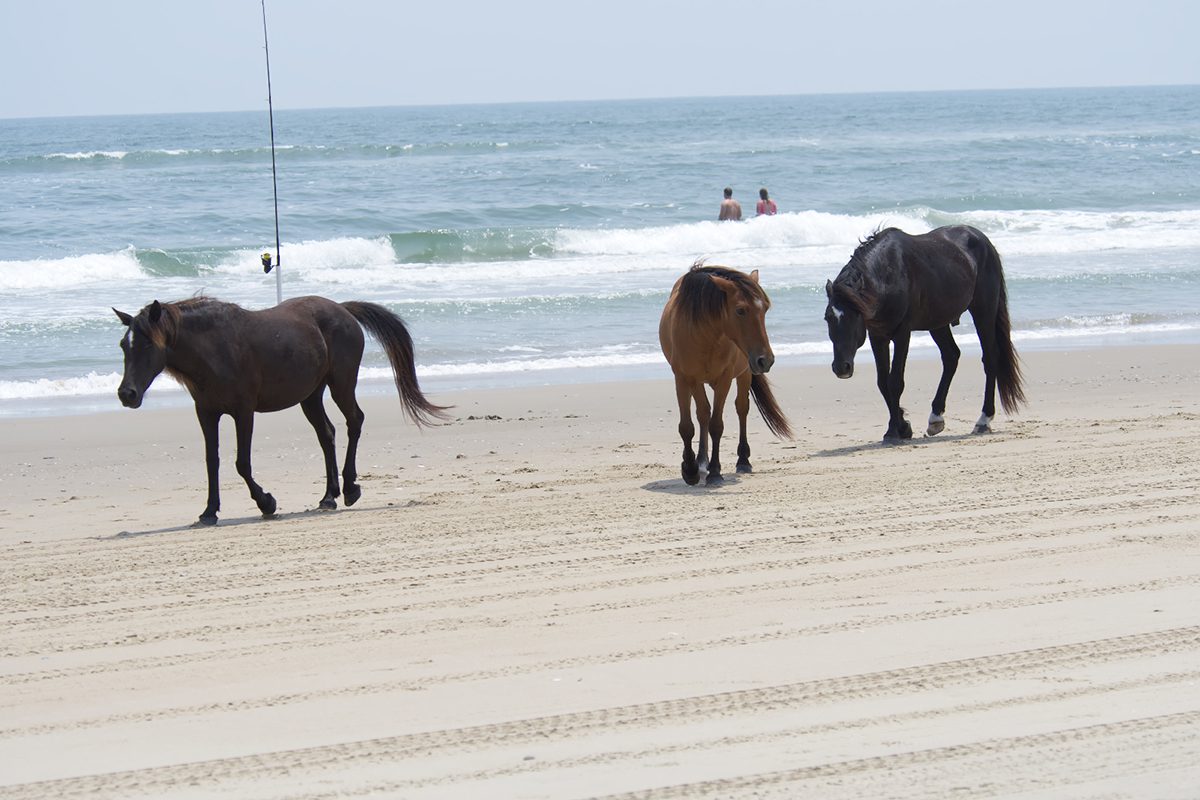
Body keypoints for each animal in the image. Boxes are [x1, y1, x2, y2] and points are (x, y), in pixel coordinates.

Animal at [114, 293, 451, 525]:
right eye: (123, 345)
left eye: (147, 344)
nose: (126, 394)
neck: (215, 349)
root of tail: (343, 309)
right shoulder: (206, 413)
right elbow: (212, 462)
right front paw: (209, 511)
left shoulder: (243, 411)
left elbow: (242, 463)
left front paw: (266, 503)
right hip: (311, 396)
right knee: (327, 434)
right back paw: (329, 496)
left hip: (341, 384)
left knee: (354, 421)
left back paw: (350, 488)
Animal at [662, 266, 792, 484]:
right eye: (740, 310)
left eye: (765, 308)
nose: (765, 360)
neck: (705, 336)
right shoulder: (684, 378)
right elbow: (688, 426)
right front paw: (690, 469)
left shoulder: (724, 379)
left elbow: (716, 425)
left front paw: (715, 472)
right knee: (703, 414)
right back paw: (701, 461)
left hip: (745, 373)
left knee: (741, 408)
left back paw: (742, 460)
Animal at [825, 225, 1032, 441]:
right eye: (828, 318)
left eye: (854, 316)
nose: (841, 368)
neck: (888, 275)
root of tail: (981, 238)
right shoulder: (878, 336)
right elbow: (883, 382)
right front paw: (902, 427)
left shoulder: (902, 334)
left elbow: (895, 382)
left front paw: (894, 431)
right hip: (938, 322)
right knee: (951, 356)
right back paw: (936, 418)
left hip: (983, 312)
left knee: (990, 358)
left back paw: (983, 420)